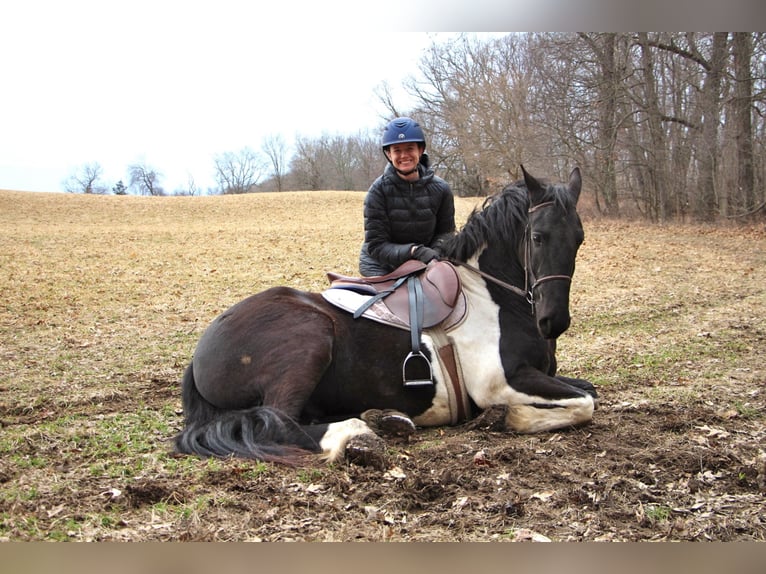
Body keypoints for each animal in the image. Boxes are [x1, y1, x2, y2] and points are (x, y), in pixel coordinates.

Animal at [176, 166, 600, 468]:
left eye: (579, 239)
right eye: (537, 237)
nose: (553, 321)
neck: (490, 294)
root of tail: (202, 350)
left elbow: (589, 391)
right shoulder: (499, 383)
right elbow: (584, 405)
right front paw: (508, 418)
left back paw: (384, 418)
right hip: (309, 339)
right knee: (278, 421)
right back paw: (357, 432)